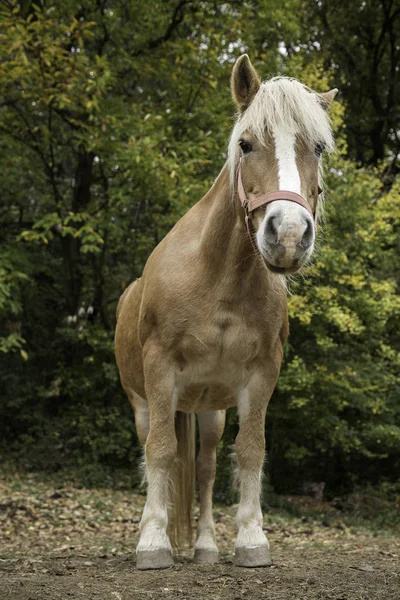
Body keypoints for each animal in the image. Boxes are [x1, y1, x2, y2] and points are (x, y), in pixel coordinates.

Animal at [114, 54, 336, 568]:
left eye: (317, 147)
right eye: (246, 144)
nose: (288, 236)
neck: (218, 280)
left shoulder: (261, 373)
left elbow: (251, 450)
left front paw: (251, 540)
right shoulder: (159, 371)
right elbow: (160, 451)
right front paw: (152, 543)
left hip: (209, 411)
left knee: (206, 467)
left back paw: (205, 546)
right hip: (144, 402)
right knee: (155, 449)